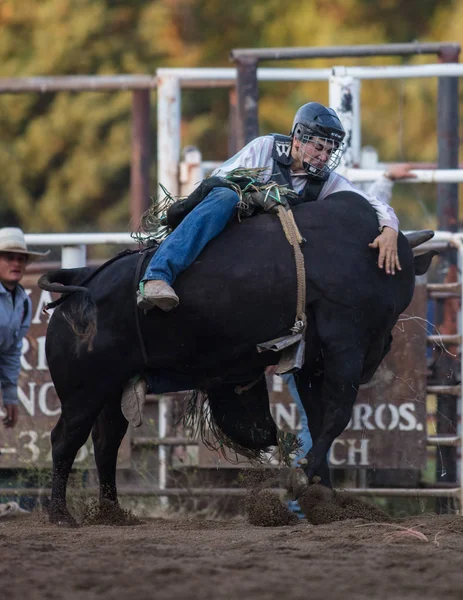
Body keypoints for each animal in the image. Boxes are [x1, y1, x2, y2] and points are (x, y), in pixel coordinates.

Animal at [39, 192, 436, 524]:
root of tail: (81, 281)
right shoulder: (345, 343)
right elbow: (336, 415)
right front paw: (303, 478)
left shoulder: (312, 361)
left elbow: (318, 418)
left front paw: (322, 497)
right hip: (82, 391)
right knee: (64, 440)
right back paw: (61, 514)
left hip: (111, 388)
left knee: (106, 443)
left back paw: (113, 513)